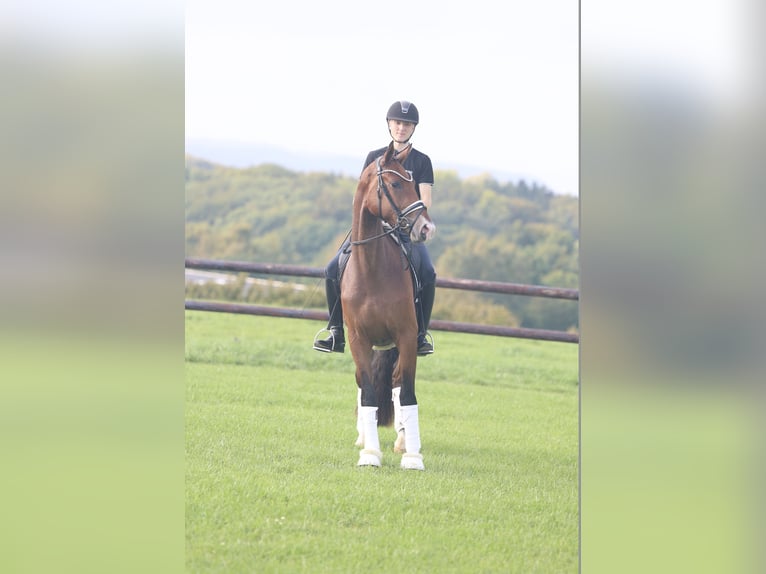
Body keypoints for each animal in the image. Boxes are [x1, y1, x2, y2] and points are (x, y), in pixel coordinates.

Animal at [340, 142, 436, 470]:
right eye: (395, 184)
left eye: (415, 185)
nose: (426, 228)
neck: (372, 268)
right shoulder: (358, 338)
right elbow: (368, 391)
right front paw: (370, 453)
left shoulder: (405, 335)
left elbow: (406, 391)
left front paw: (413, 457)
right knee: (363, 383)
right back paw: (362, 438)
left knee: (396, 384)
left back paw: (403, 440)